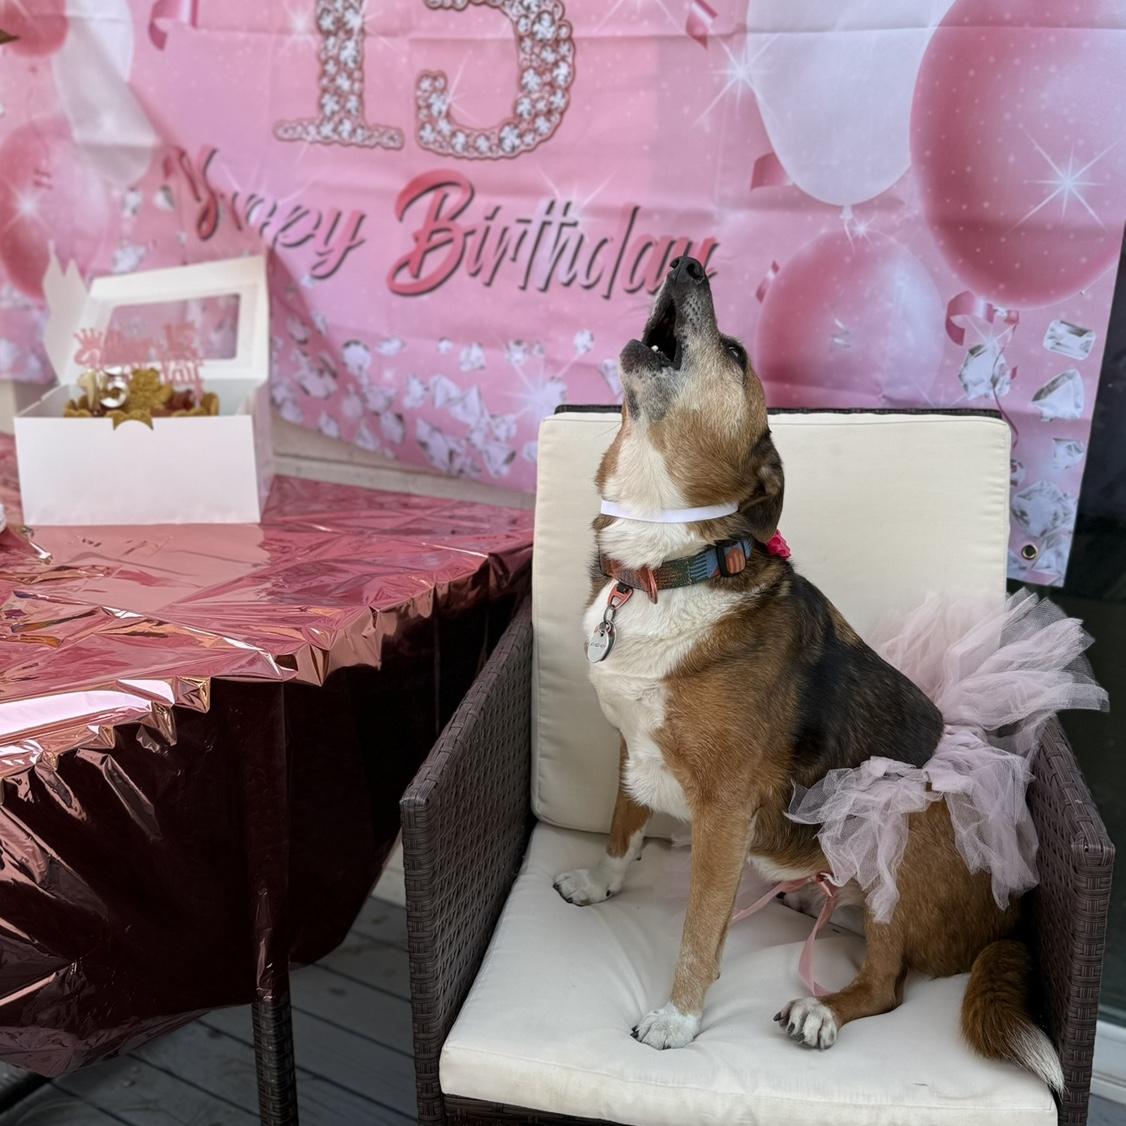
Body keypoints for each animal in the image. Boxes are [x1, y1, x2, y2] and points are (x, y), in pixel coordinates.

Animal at [552, 255, 1061, 1090]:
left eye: (735, 354)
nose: (687, 262)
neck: (670, 566)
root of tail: (1008, 920)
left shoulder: (724, 809)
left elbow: (700, 927)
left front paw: (678, 1018)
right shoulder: (632, 743)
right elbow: (625, 824)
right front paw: (602, 882)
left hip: (908, 820)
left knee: (889, 983)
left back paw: (822, 1011)